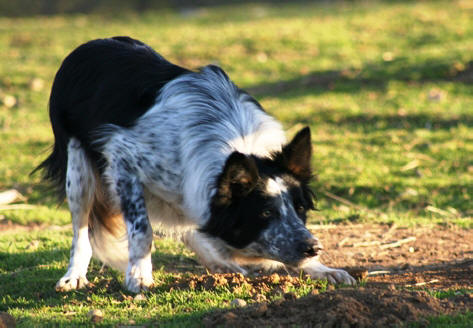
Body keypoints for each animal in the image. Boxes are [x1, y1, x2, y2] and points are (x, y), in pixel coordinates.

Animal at [36, 36, 354, 292]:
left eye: (300, 208)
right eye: (264, 213)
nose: (313, 247)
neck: (236, 143)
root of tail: (88, 45)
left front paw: (321, 269)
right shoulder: (124, 160)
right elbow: (142, 230)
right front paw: (139, 275)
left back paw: (220, 262)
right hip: (79, 171)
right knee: (81, 229)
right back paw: (74, 275)